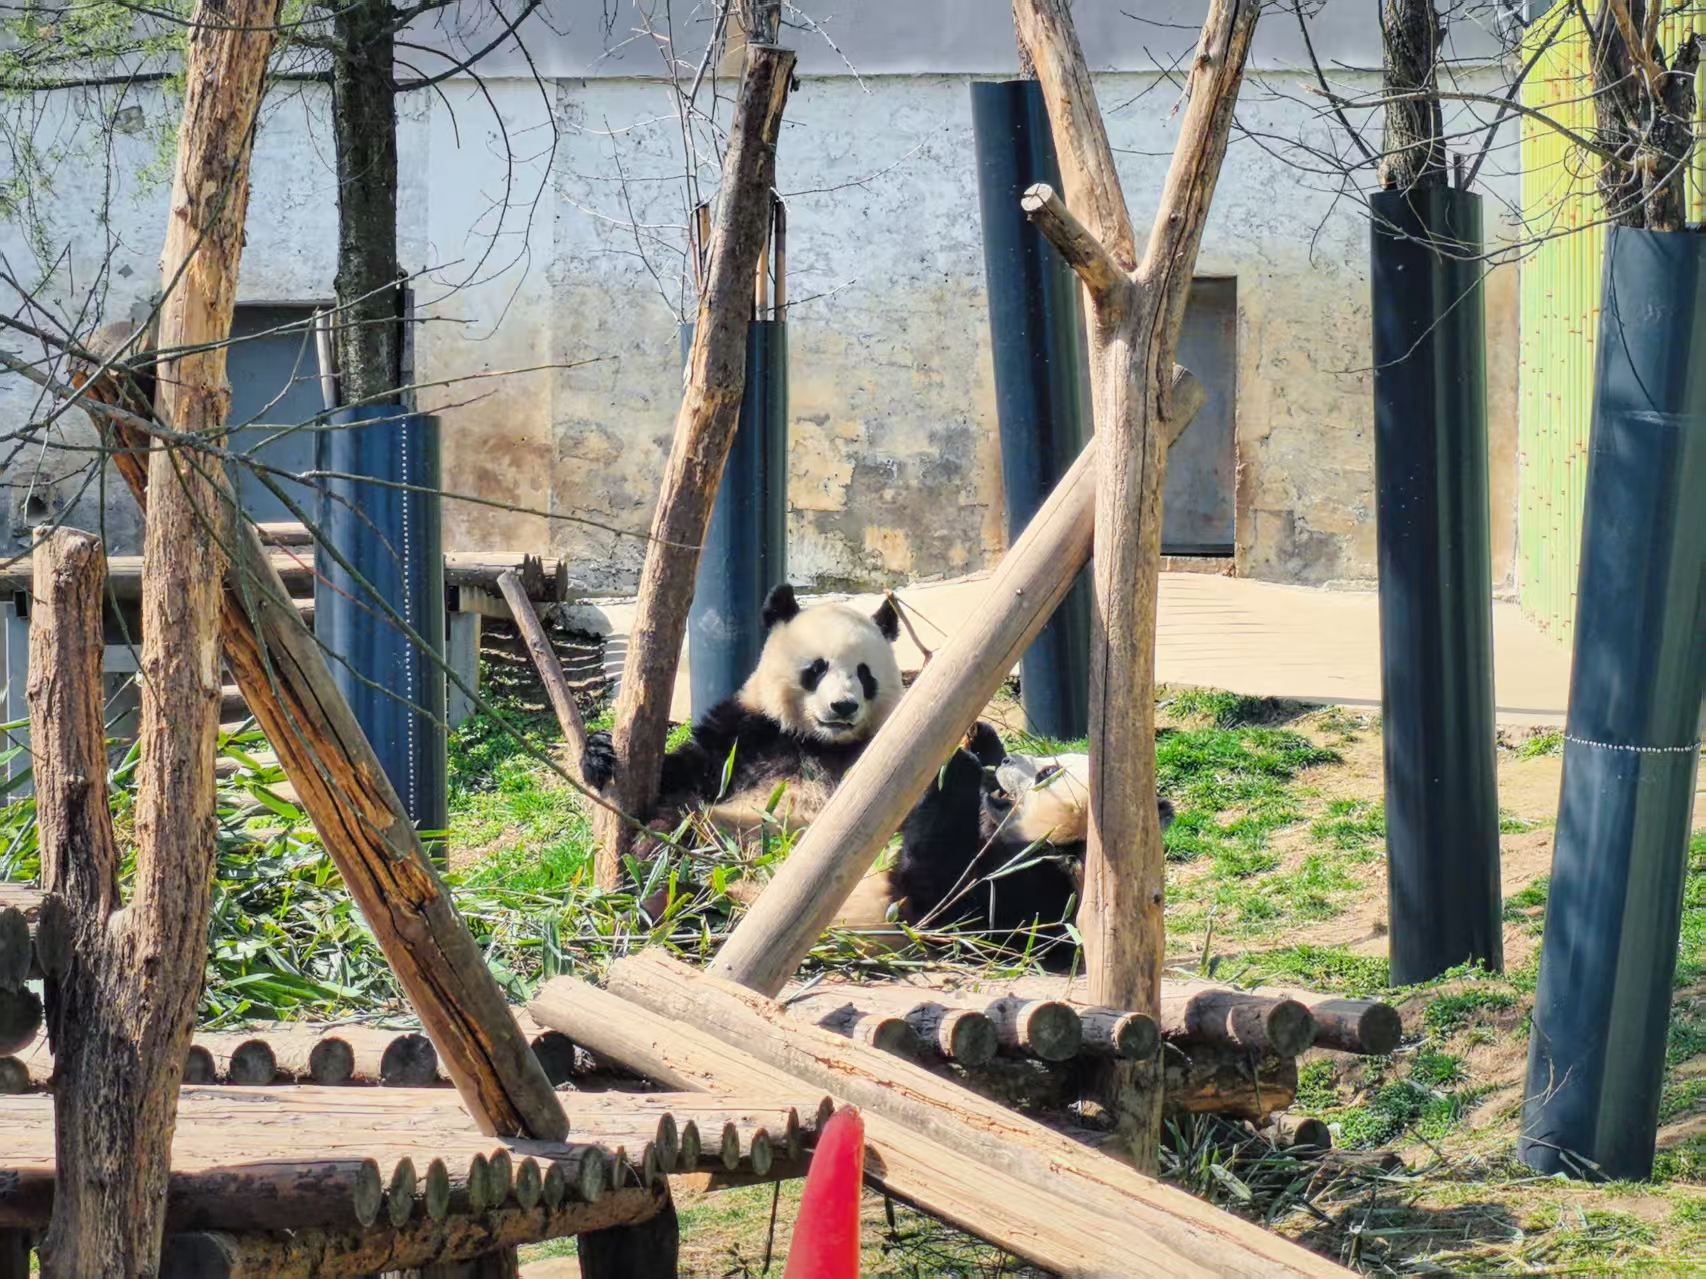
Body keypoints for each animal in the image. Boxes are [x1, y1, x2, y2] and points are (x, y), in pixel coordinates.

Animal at [583, 582, 904, 840]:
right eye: (817, 668)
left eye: (864, 674)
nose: (843, 706)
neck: (816, 741)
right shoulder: (743, 736)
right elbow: (684, 771)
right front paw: (599, 751)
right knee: (675, 823)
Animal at [887, 722, 1176, 970]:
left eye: (1047, 773)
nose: (1007, 761)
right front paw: (981, 740)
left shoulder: (1047, 888)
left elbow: (954, 911)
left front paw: (959, 768)